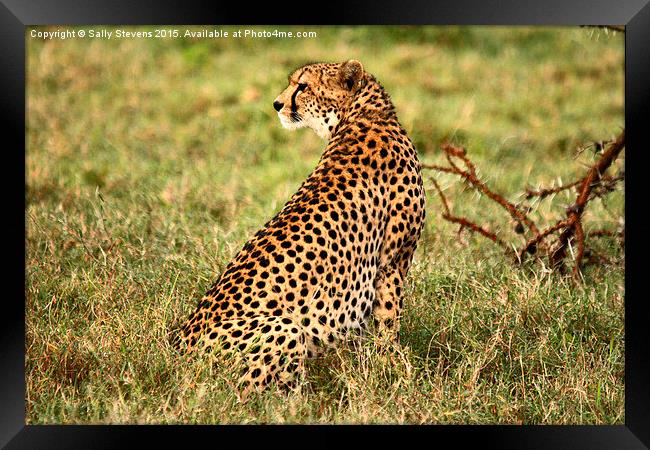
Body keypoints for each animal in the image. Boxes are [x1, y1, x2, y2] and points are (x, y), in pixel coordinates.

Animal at [172, 60, 426, 394]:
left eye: (302, 86)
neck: (363, 115)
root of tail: (180, 347)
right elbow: (388, 320)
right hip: (285, 327)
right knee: (249, 395)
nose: (277, 104)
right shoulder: (393, 261)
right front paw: (393, 368)